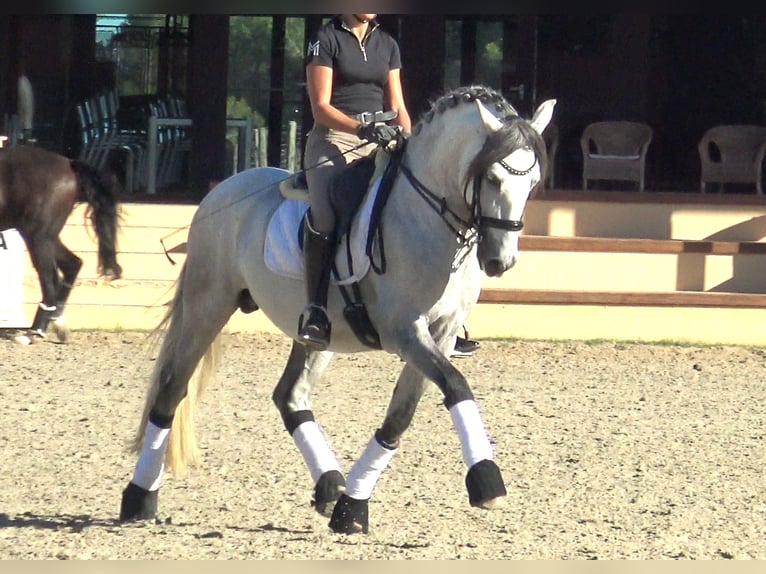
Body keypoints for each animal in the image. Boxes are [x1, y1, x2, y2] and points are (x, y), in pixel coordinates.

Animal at [0, 146, 121, 344]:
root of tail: (68, 164)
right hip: (45, 236)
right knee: (72, 264)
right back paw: (57, 323)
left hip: (38, 236)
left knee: (50, 280)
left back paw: (34, 333)